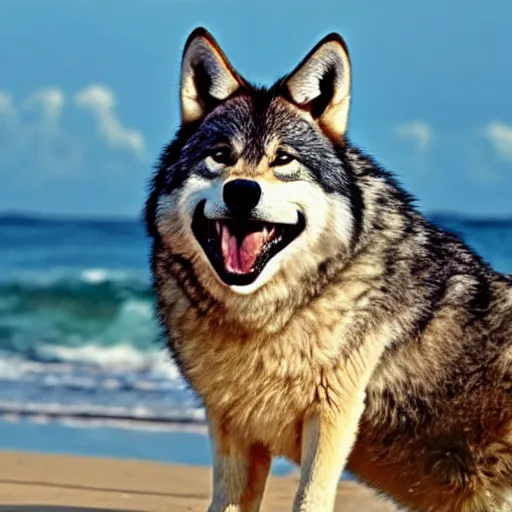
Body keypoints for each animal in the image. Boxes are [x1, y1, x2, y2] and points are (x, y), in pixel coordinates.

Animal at [143, 29, 512, 512]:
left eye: (284, 159)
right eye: (220, 155)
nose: (242, 191)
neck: (263, 322)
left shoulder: (333, 415)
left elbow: (309, 500)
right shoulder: (233, 425)